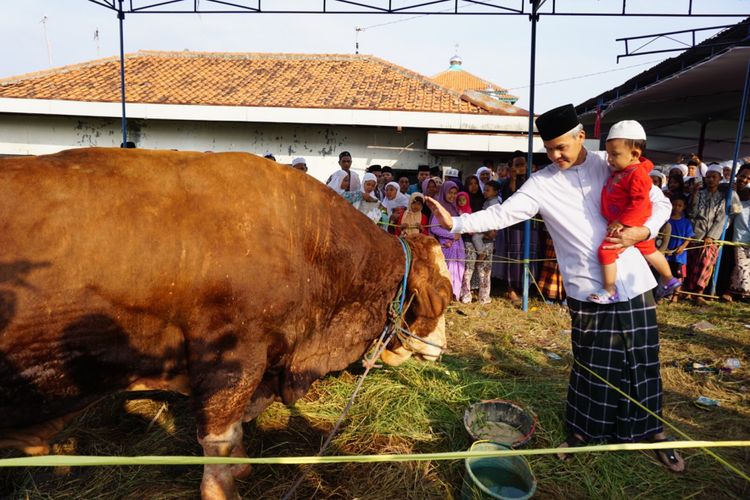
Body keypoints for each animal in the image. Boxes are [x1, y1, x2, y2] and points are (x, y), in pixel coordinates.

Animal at [0, 147, 452, 496]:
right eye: (444, 296)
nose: (441, 350)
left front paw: (242, 465)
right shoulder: (231, 360)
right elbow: (221, 437)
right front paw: (228, 481)